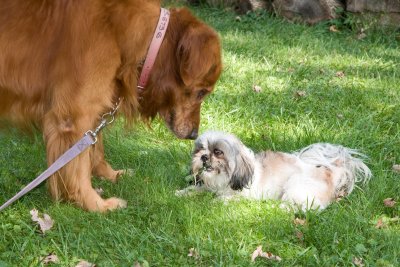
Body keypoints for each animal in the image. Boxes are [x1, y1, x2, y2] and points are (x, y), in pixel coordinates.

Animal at [0, 1, 222, 213]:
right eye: (202, 92)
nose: (194, 134)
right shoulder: (75, 116)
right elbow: (78, 167)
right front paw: (95, 204)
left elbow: (95, 148)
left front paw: (111, 175)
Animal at [176, 131, 372, 210]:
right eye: (200, 149)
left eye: (218, 152)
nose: (203, 157)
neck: (223, 179)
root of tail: (331, 171)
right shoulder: (208, 185)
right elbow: (197, 188)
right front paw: (182, 193)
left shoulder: (243, 194)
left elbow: (225, 198)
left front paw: (216, 201)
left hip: (297, 186)